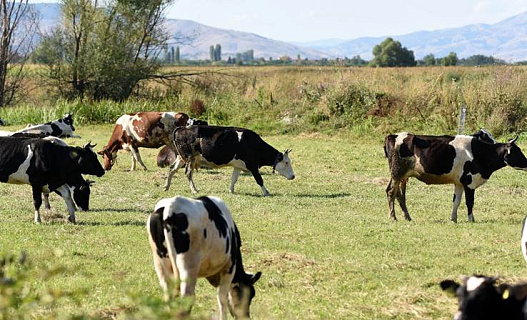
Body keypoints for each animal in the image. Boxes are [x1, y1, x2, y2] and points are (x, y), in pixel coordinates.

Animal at [165, 124, 294, 195]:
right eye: (287, 162)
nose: (293, 176)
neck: (254, 144)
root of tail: (182, 128)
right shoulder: (252, 165)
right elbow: (260, 180)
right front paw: (266, 192)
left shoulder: (238, 166)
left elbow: (233, 179)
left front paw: (231, 191)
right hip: (189, 158)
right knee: (188, 173)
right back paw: (194, 190)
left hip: (181, 158)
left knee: (172, 169)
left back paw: (166, 186)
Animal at [384, 131, 527, 221]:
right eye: (518, 151)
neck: (480, 153)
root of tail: (393, 135)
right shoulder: (470, 182)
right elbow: (470, 202)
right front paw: (471, 220)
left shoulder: (459, 183)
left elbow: (456, 201)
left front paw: (453, 219)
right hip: (397, 173)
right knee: (391, 191)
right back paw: (393, 217)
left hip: (402, 176)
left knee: (399, 195)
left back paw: (407, 217)